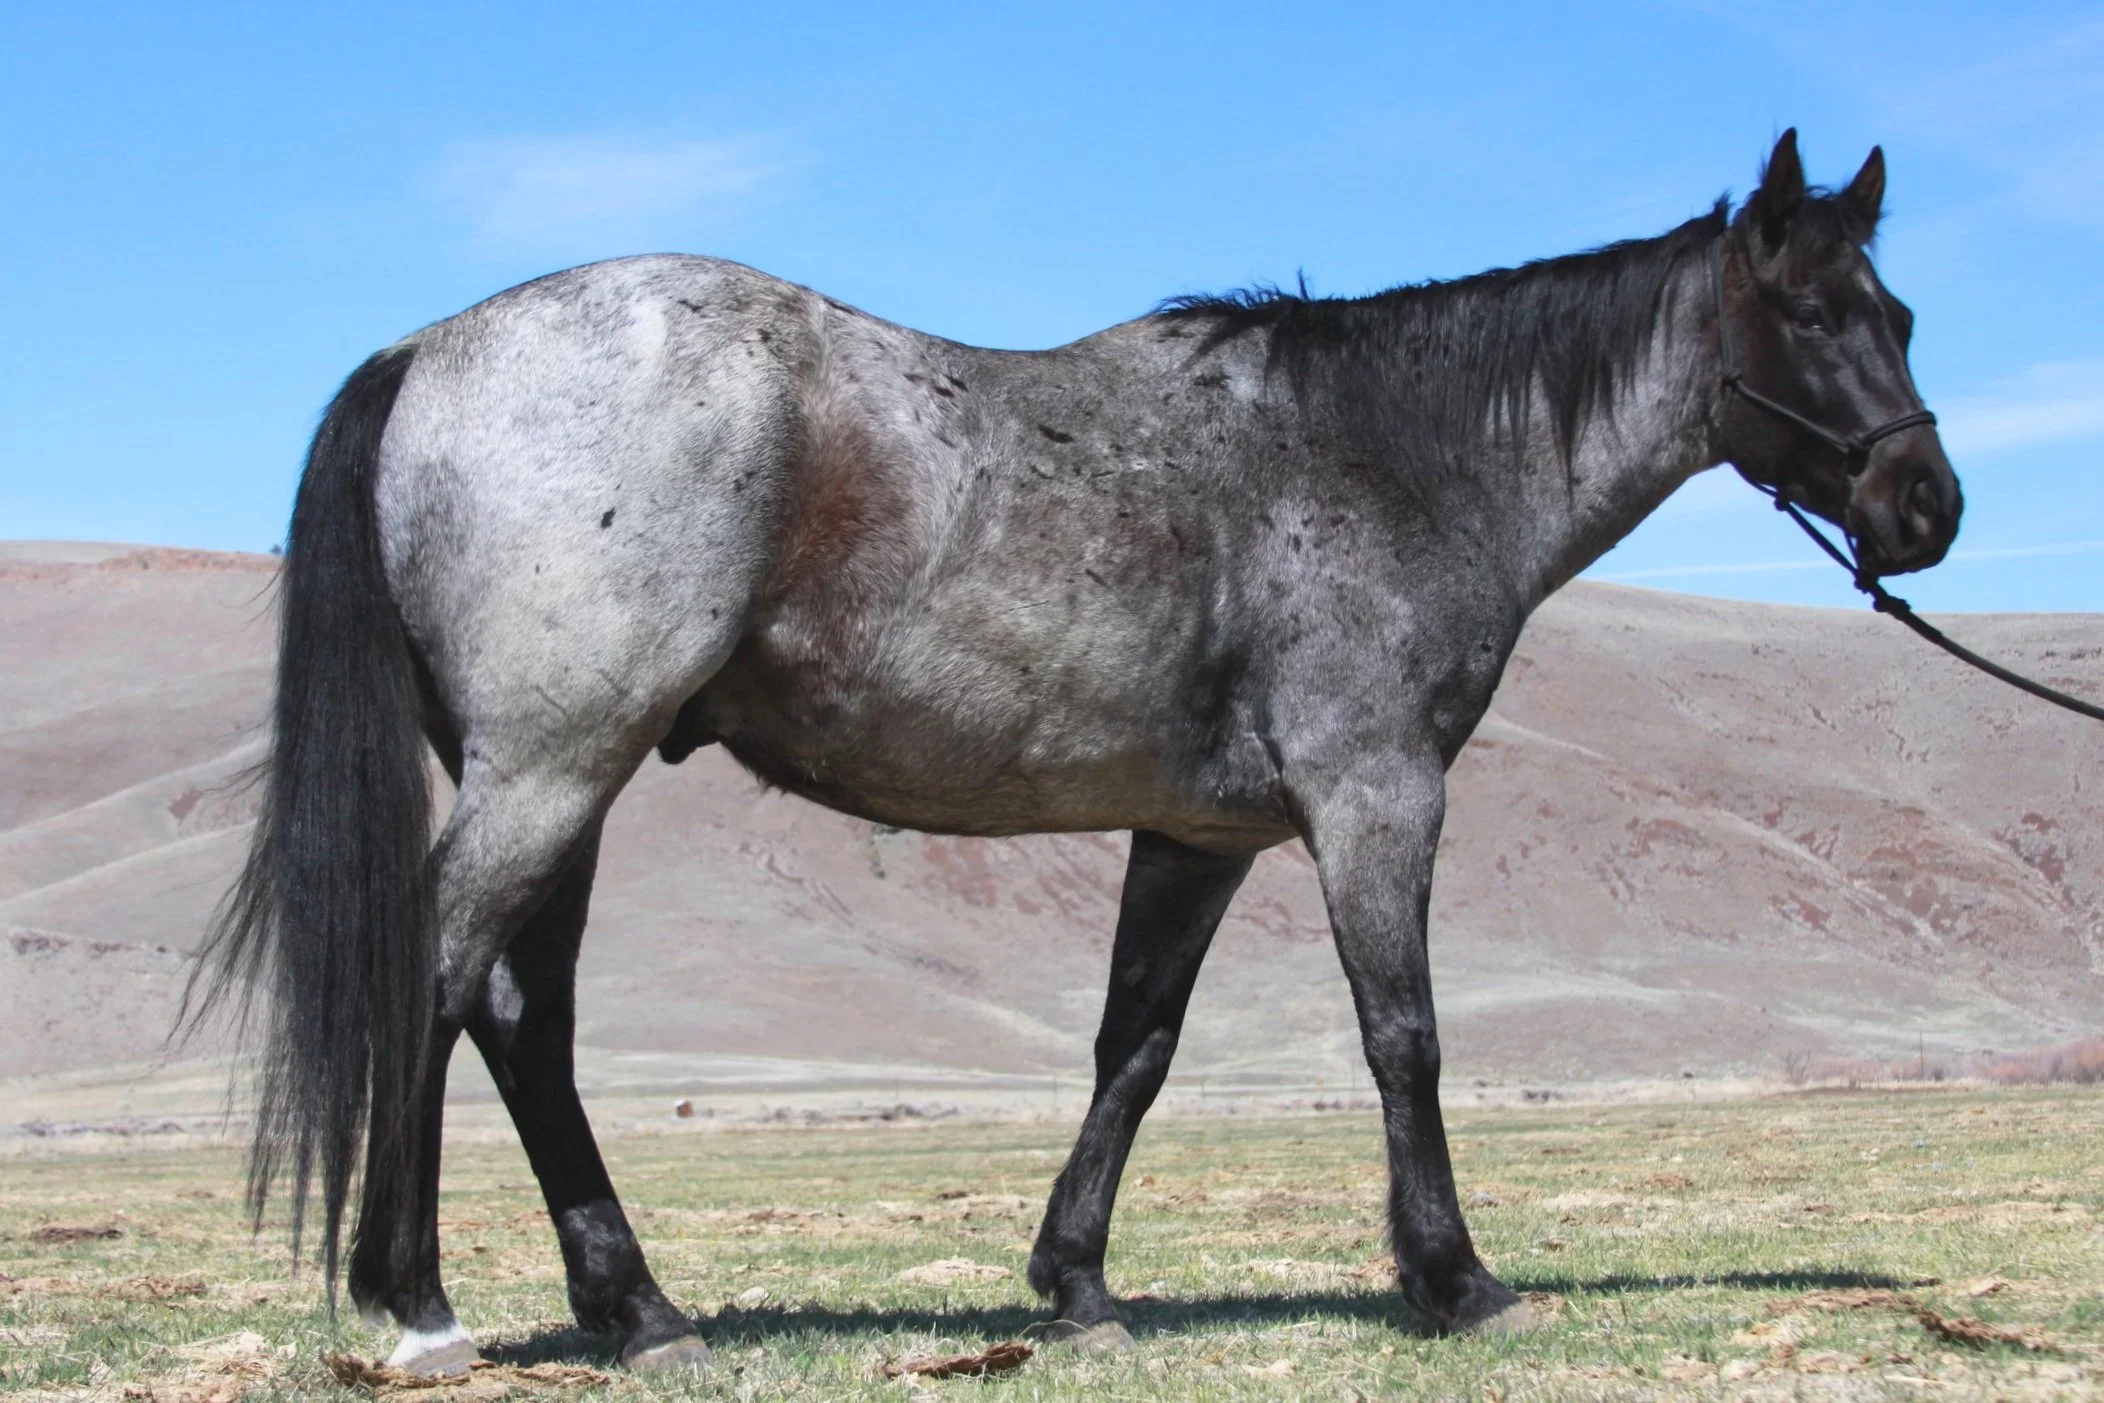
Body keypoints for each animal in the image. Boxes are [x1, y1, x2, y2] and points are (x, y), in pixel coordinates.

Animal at [190, 130, 1961, 1373]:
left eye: (1902, 308)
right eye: (1811, 312)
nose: (1926, 508)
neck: (1389, 456)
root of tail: (429, 349)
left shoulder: (1199, 837)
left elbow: (1135, 1047)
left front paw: (1079, 1280)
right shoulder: (1376, 798)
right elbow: (1404, 1038)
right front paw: (1456, 1278)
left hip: (571, 777)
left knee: (523, 1017)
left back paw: (639, 1307)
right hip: (556, 767)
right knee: (441, 981)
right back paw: (421, 1297)